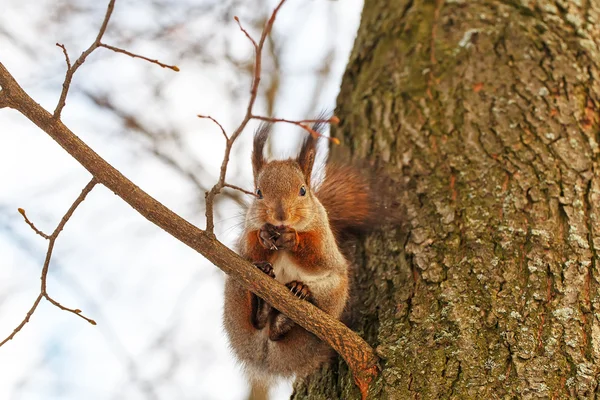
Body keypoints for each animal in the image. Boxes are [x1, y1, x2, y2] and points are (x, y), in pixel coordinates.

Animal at [223, 121, 372, 388]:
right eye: (258, 193)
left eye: (303, 190)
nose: (280, 216)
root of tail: (266, 356)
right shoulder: (246, 242)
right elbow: (250, 250)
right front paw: (263, 236)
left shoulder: (324, 240)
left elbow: (317, 257)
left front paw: (293, 239)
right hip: (236, 285)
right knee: (258, 320)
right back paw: (263, 302)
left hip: (332, 295)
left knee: (281, 329)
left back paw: (292, 303)